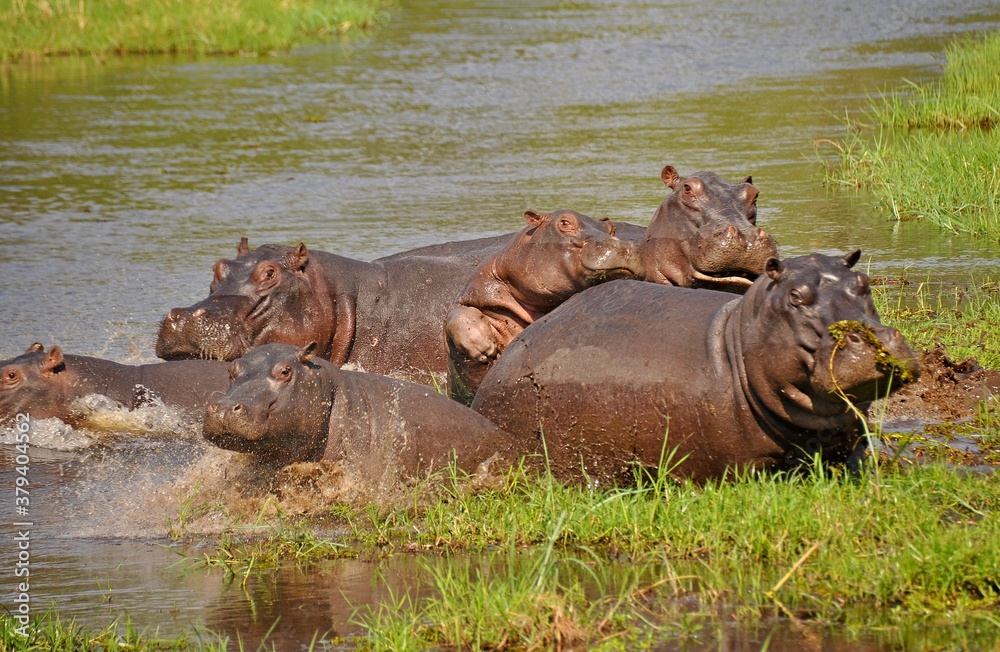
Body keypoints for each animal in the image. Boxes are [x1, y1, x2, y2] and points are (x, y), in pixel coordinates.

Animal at [445, 210, 643, 404]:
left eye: (612, 229)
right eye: (565, 222)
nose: (624, 245)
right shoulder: (475, 294)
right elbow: (457, 314)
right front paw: (484, 348)